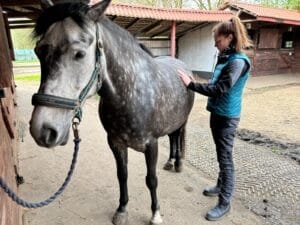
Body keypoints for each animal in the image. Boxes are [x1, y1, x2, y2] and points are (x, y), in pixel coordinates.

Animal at [29, 0, 195, 224]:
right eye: (38, 51)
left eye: (80, 54)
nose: (42, 130)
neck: (131, 92)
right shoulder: (115, 142)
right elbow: (122, 175)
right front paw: (122, 210)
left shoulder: (151, 144)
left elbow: (151, 180)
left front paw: (156, 213)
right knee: (172, 137)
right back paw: (170, 162)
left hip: (182, 120)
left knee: (177, 136)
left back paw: (177, 164)